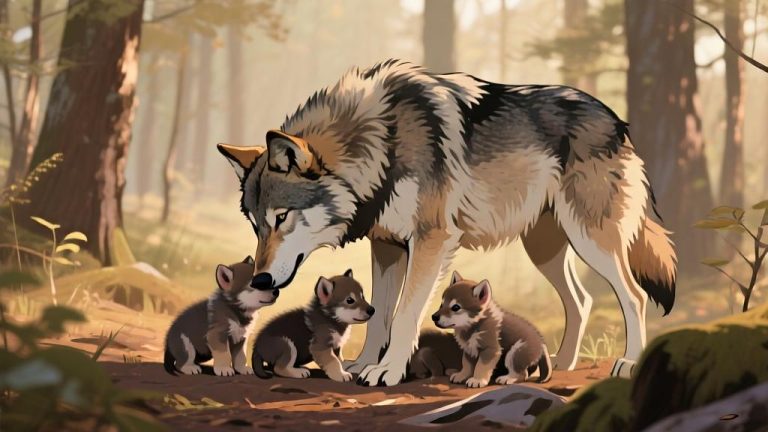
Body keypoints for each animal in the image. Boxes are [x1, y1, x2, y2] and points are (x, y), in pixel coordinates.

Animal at [217, 59, 677, 386]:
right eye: (255, 224)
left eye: (281, 217)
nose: (260, 280)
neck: (382, 145)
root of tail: (616, 120)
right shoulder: (386, 246)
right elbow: (379, 313)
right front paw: (363, 364)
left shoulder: (432, 239)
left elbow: (405, 312)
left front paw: (388, 371)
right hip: (546, 250)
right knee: (580, 300)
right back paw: (562, 364)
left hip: (591, 240)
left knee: (634, 296)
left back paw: (628, 362)